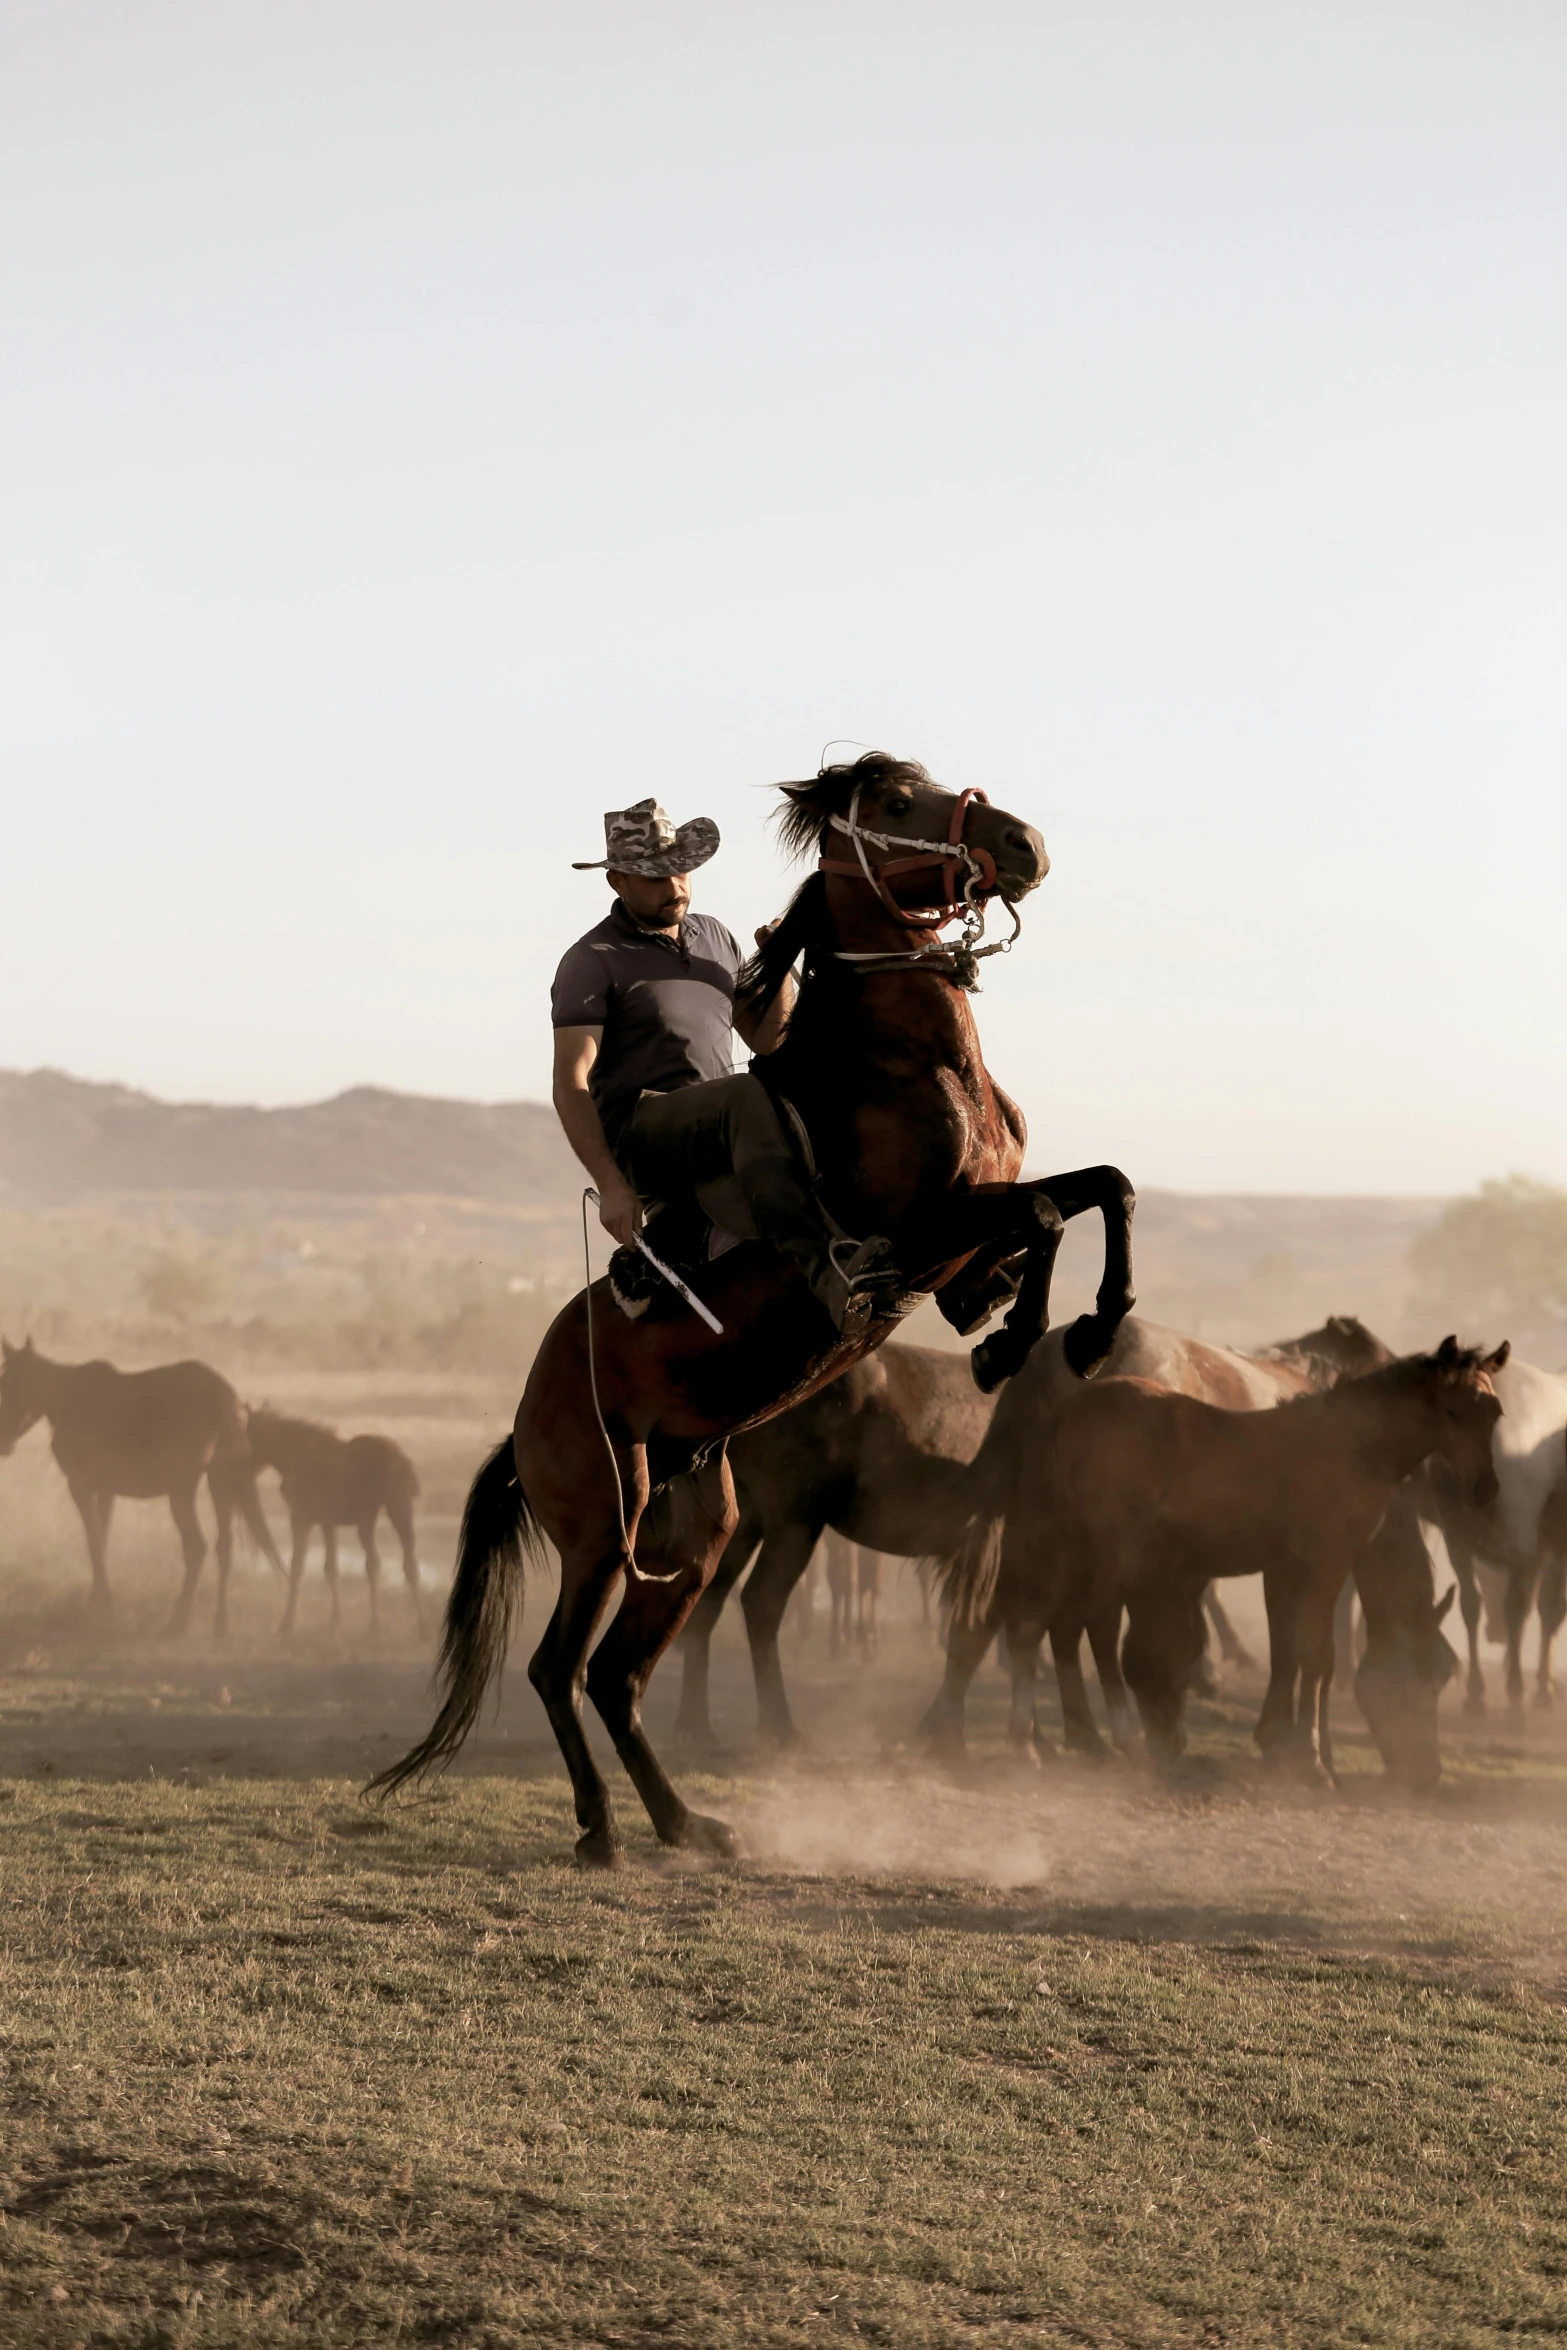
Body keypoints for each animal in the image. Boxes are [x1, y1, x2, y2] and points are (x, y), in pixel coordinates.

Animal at [0, 1334, 285, 1626]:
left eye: (5, 1381)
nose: (4, 1443)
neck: (65, 1396)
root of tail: (223, 1396)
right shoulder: (106, 1489)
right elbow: (102, 1538)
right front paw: (98, 1601)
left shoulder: (80, 1484)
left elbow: (94, 1540)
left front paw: (102, 1604)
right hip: (221, 1482)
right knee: (224, 1547)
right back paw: (220, 1624)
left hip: (182, 1489)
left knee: (196, 1547)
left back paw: (178, 1621)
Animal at [243, 1410, 420, 1635]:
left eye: (248, 1434)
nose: (241, 1467)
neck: (295, 1456)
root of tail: (402, 1460)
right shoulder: (313, 1522)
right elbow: (312, 1567)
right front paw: (301, 1622)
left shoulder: (314, 1520)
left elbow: (318, 1568)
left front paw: (323, 1622)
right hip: (372, 1519)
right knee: (383, 1564)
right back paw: (383, 1626)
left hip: (396, 1510)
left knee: (402, 1565)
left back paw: (412, 1627)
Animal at [380, 742, 1141, 1861]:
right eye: (896, 800)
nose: (1022, 843)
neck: (904, 1063)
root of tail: (522, 1421)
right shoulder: (924, 1232)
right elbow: (1048, 1209)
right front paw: (1019, 1344)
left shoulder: (967, 1235)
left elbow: (1101, 1188)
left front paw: (1071, 1327)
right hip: (602, 1531)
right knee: (560, 1669)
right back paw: (602, 1828)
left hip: (692, 1530)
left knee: (617, 1677)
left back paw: (683, 1820)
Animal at [944, 1344, 1503, 1776]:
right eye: (1452, 1412)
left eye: (1494, 1413)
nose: (1484, 1490)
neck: (1348, 1446)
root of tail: (1066, 1411)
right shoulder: (1324, 1564)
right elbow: (1315, 1657)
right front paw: (1311, 1761)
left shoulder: (1287, 1568)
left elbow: (1294, 1654)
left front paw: (1290, 1747)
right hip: (1111, 1552)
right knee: (1092, 1628)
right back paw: (1118, 1741)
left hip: (1066, 1545)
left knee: (1036, 1625)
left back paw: (1047, 1743)